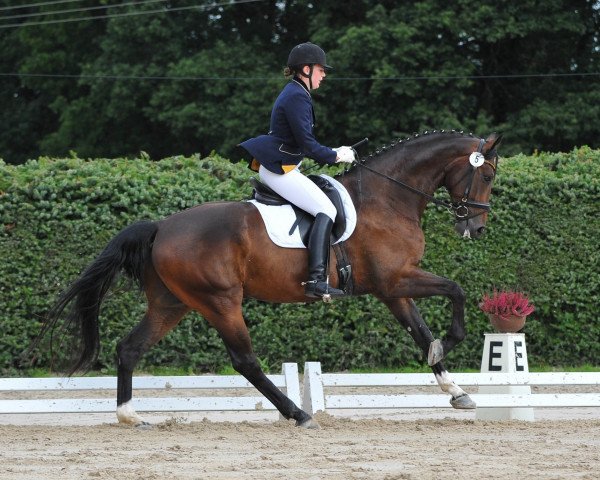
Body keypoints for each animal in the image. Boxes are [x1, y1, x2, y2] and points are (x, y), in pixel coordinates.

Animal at [32, 130, 502, 428]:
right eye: (488, 175)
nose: (477, 229)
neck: (387, 198)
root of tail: (161, 227)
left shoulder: (393, 290)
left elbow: (421, 332)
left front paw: (456, 390)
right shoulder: (396, 280)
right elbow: (456, 291)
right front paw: (452, 343)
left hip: (171, 303)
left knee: (129, 348)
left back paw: (130, 415)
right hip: (220, 302)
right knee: (245, 361)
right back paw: (298, 414)